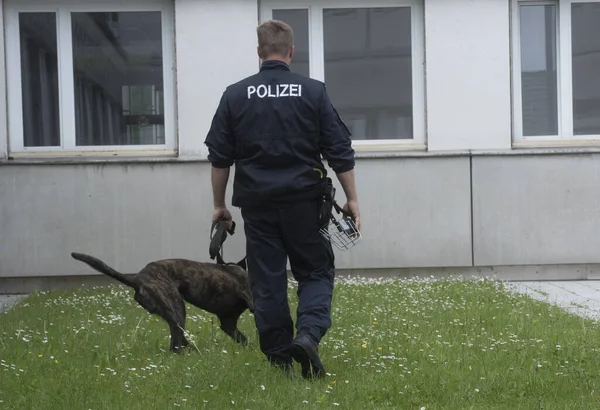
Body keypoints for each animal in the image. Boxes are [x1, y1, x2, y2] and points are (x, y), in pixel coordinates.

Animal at [70, 251, 253, 350]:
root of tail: (137, 279)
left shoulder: (228, 323)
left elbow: (244, 340)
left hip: (173, 313)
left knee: (179, 341)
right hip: (177, 308)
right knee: (176, 346)